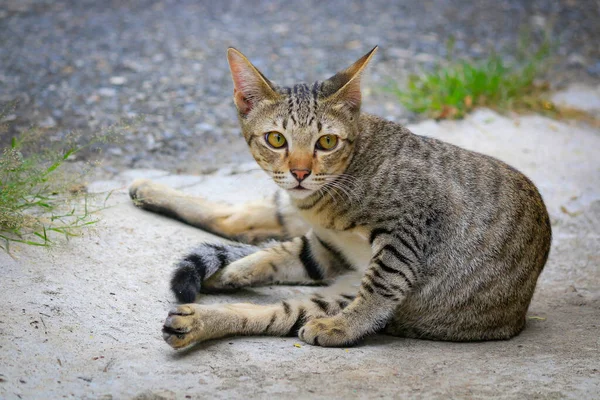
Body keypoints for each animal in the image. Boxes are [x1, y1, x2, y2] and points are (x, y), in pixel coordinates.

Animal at [129, 46, 552, 346]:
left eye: (327, 142)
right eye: (276, 139)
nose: (301, 172)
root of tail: (519, 313)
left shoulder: (413, 223)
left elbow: (382, 285)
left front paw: (347, 327)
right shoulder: (323, 244)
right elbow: (277, 253)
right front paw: (237, 268)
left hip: (339, 295)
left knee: (279, 310)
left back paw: (199, 320)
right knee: (242, 229)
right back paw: (155, 197)